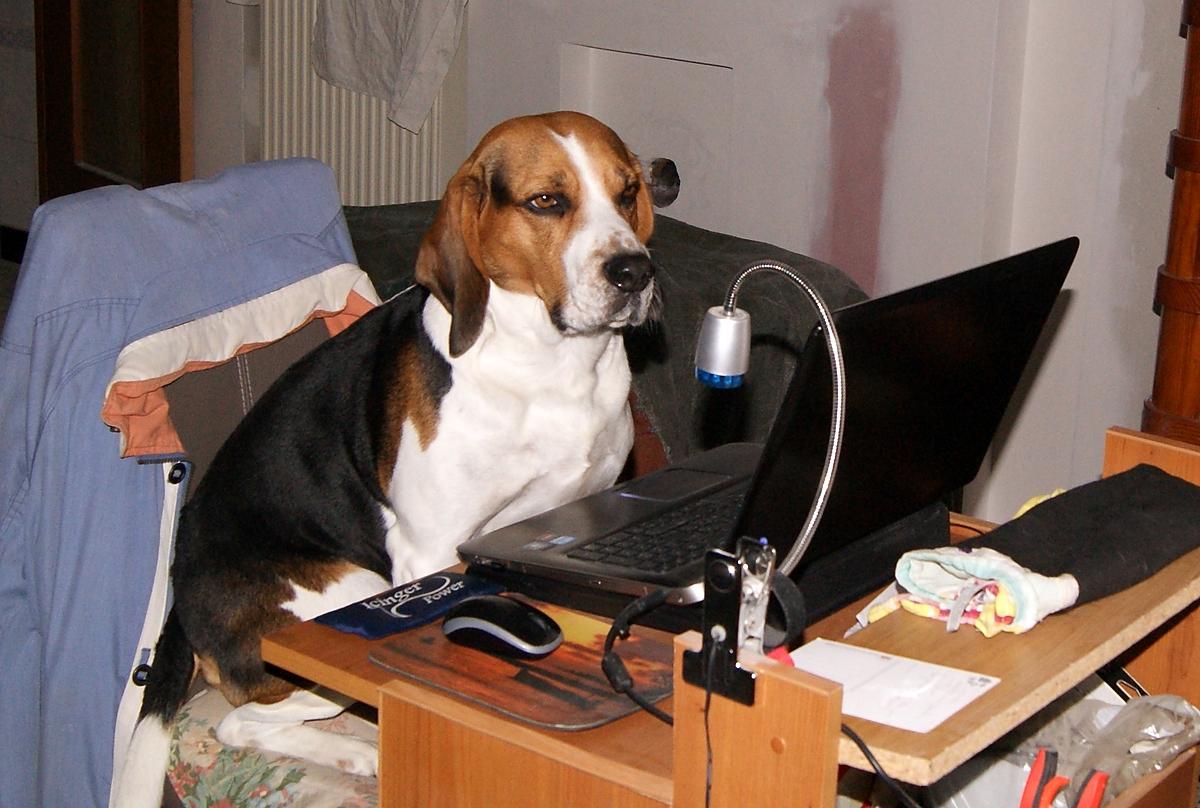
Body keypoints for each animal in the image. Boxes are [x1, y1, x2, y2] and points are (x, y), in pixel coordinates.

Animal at [114, 110, 667, 801]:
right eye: (547, 201)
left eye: (627, 192)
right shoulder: (429, 550)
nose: (634, 272)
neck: (552, 365)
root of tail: (179, 594)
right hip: (345, 592)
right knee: (242, 723)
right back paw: (359, 754)